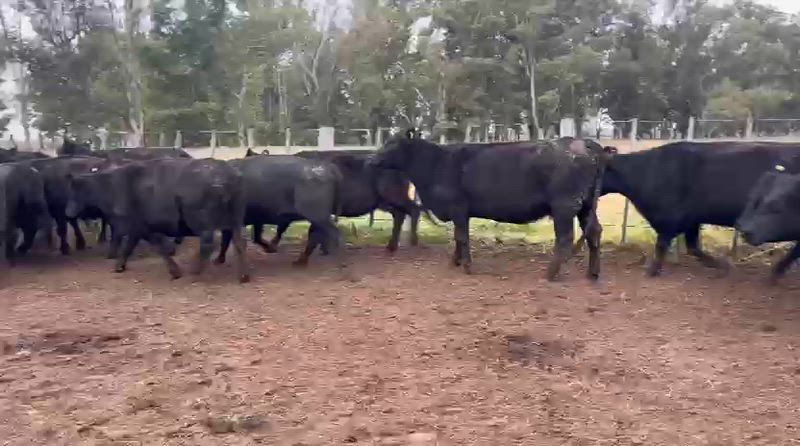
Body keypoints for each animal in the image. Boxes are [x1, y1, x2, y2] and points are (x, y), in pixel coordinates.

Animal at [65, 158, 250, 282]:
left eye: (76, 189)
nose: (67, 212)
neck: (111, 185)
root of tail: (227, 173)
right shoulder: (136, 229)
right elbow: (128, 248)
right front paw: (119, 266)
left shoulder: (141, 228)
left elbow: (159, 248)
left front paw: (175, 271)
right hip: (235, 219)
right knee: (240, 243)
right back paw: (243, 276)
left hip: (201, 222)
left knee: (209, 243)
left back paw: (194, 270)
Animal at [214, 154, 343, 267]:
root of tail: (328, 167)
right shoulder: (257, 220)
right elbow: (255, 237)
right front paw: (270, 247)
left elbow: (225, 241)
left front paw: (218, 259)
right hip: (317, 218)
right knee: (316, 236)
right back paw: (301, 262)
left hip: (317, 216)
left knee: (334, 233)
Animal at [261, 149, 425, 253]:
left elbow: (284, 226)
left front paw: (271, 246)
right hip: (386, 202)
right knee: (400, 215)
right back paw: (392, 246)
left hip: (395, 197)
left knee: (414, 210)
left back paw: (413, 241)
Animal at [371, 130, 611, 281]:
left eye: (392, 144)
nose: (371, 159)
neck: (436, 163)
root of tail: (585, 143)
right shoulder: (461, 212)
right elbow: (458, 236)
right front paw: (455, 261)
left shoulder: (458, 207)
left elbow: (462, 237)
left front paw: (466, 266)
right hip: (586, 206)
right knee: (595, 232)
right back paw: (593, 273)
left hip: (564, 206)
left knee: (565, 238)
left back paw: (551, 274)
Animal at [601, 141, 800, 277]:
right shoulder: (691, 220)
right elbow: (693, 248)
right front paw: (720, 265)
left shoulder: (670, 219)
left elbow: (663, 245)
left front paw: (652, 271)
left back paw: (776, 272)